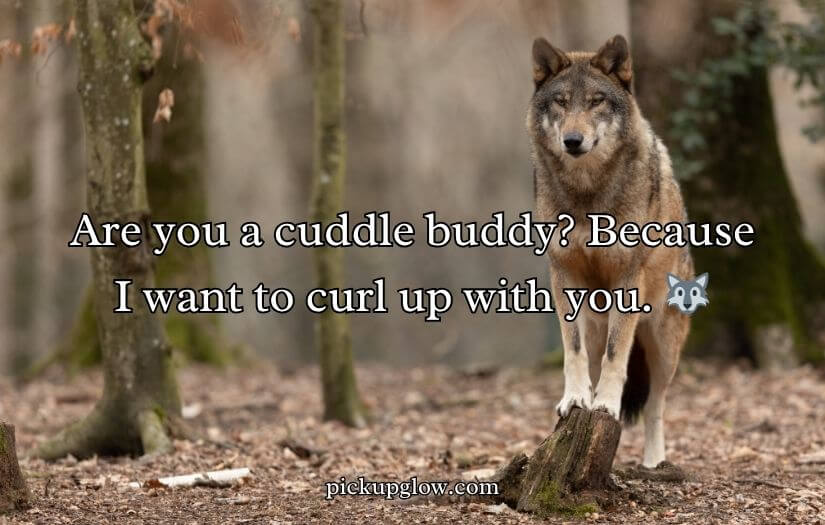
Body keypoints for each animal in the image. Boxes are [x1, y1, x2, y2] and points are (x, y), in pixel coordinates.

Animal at [527, 35, 694, 468]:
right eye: (561, 102)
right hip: (597, 320)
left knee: (654, 407)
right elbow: (573, 351)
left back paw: (654, 463)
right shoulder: (563, 274)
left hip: (662, 347)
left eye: (596, 101)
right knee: (594, 354)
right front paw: (575, 400)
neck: (588, 194)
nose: (572, 141)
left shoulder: (626, 279)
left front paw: (605, 406)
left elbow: (617, 358)